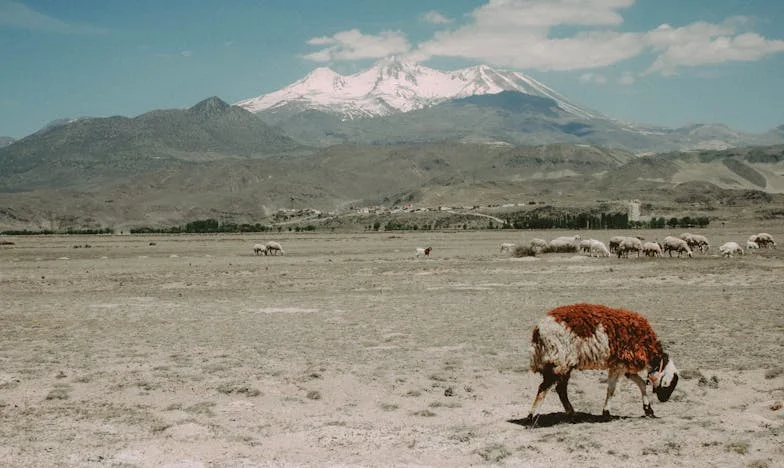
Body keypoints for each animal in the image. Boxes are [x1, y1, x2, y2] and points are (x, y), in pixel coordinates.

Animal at [528, 304, 680, 420]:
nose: (664, 400)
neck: (647, 346)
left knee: (560, 389)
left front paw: (648, 410)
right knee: (544, 388)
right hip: (559, 360)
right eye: (669, 383)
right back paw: (532, 416)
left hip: (564, 363)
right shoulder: (618, 365)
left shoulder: (625, 366)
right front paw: (606, 413)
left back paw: (571, 413)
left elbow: (641, 383)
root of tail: (538, 330)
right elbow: (612, 389)